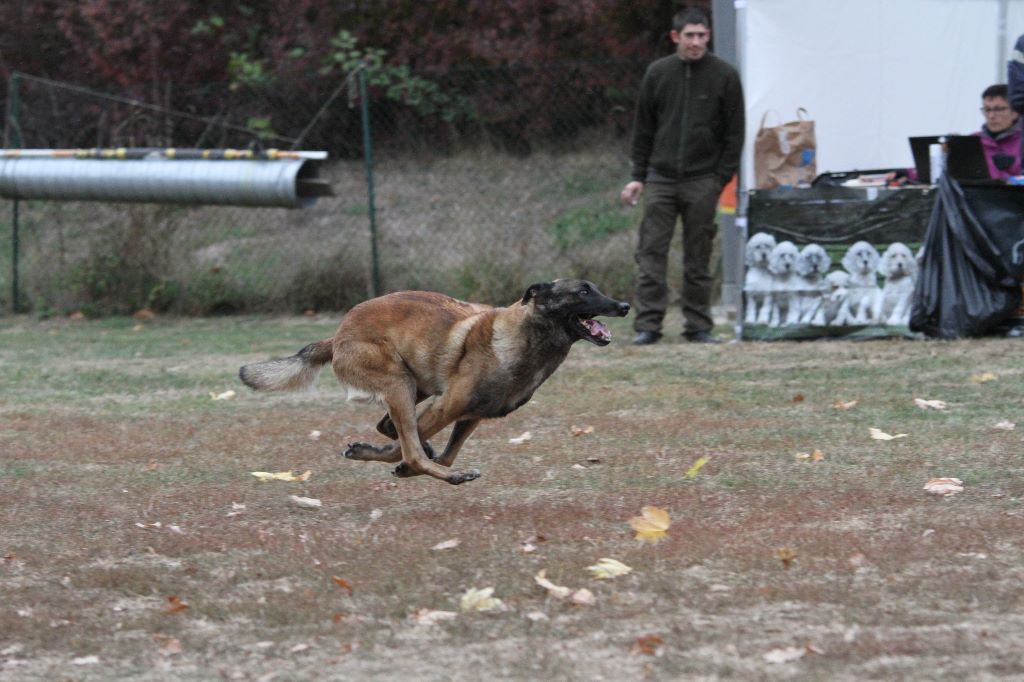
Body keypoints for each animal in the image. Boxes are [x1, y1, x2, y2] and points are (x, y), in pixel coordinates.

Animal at [238, 278, 626, 483]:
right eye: (582, 292)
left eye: (596, 288)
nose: (623, 305)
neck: (525, 337)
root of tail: (337, 336)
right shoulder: (447, 407)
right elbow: (411, 450)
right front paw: (401, 461)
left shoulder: (470, 415)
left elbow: (445, 454)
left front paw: (385, 456)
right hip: (400, 384)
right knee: (409, 445)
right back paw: (442, 473)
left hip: (415, 385)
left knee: (390, 427)